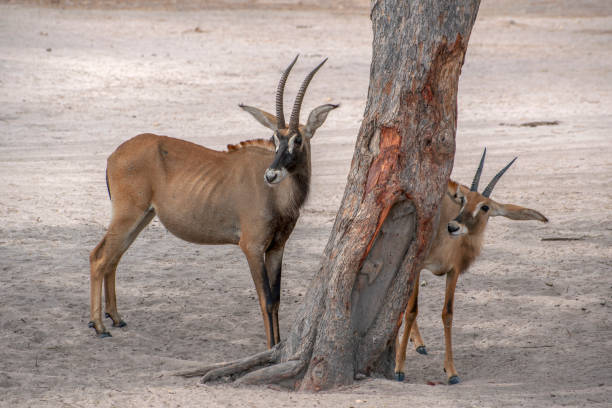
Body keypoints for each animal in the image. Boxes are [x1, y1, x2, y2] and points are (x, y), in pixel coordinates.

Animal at [88, 55, 340, 348]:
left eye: (297, 139)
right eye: (274, 138)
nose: (271, 175)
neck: (277, 197)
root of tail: (114, 154)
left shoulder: (277, 248)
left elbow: (277, 300)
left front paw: (277, 345)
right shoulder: (252, 247)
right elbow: (266, 300)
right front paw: (269, 348)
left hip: (142, 217)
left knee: (114, 257)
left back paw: (116, 318)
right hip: (128, 214)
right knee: (99, 256)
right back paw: (99, 326)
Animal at [394, 149, 548, 382]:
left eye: (485, 207)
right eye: (463, 199)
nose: (453, 227)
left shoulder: (453, 272)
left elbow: (447, 314)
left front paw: (451, 371)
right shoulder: (417, 266)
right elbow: (412, 310)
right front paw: (399, 367)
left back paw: (419, 344)